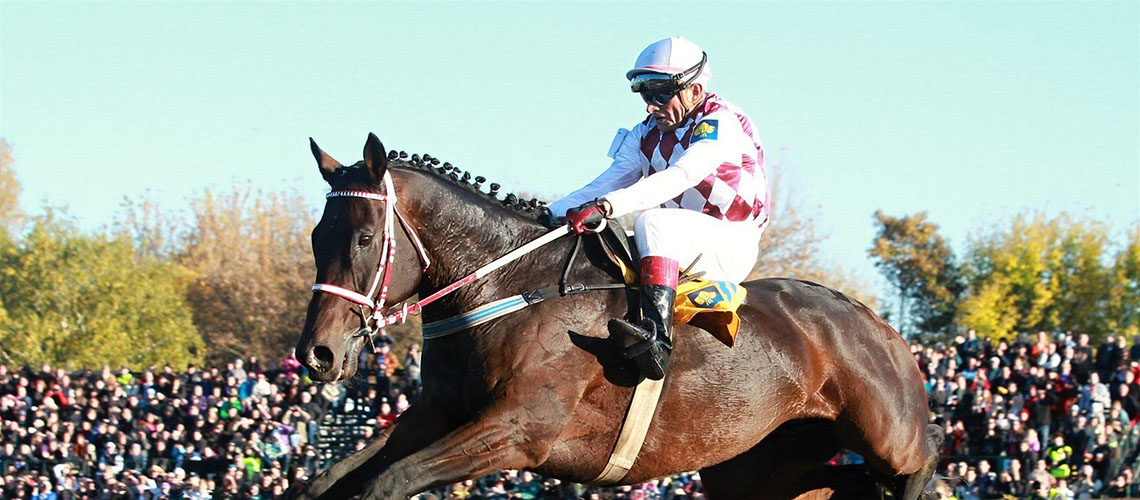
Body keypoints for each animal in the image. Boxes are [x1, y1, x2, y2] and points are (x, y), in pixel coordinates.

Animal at [292, 133, 943, 500]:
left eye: (364, 238)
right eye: (317, 236)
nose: (317, 354)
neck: (505, 289)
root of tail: (877, 323)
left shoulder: (519, 430)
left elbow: (388, 480)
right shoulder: (439, 413)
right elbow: (330, 479)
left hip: (886, 434)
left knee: (918, 462)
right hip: (753, 466)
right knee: (846, 483)